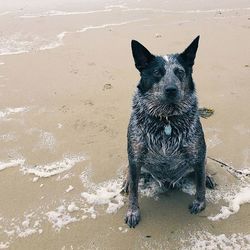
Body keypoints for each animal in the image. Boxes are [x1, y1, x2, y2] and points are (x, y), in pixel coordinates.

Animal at [123, 36, 215, 228]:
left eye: (179, 71)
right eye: (157, 72)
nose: (171, 89)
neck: (166, 120)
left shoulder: (197, 153)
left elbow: (200, 185)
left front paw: (200, 203)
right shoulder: (135, 156)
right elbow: (134, 192)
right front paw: (133, 212)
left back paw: (208, 176)